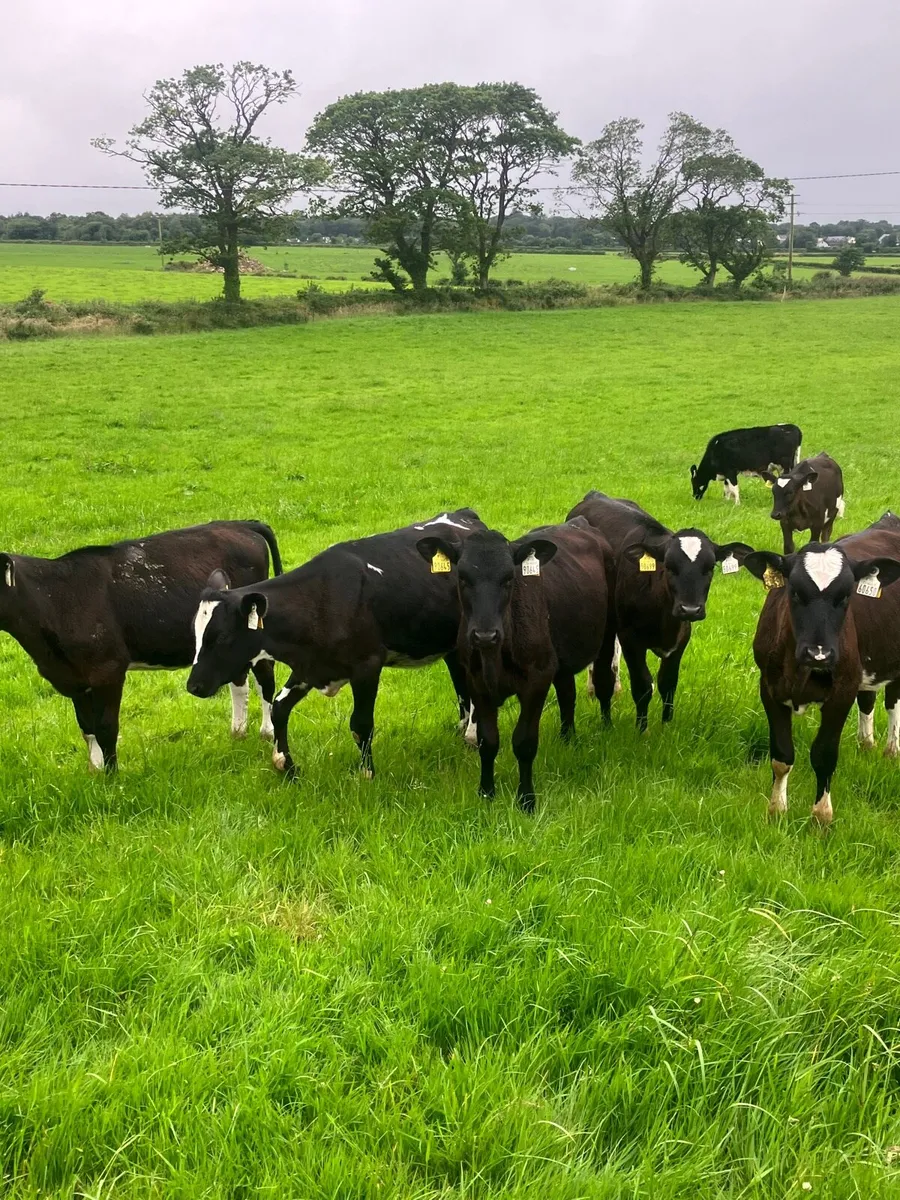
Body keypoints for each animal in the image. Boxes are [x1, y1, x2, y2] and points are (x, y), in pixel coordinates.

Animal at [0, 521, 283, 770]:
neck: (55, 598)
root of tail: (241, 524)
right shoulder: (73, 679)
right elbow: (87, 728)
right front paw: (95, 772)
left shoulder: (108, 671)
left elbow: (105, 727)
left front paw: (112, 779)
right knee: (239, 679)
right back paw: (237, 732)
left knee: (265, 679)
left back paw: (267, 733)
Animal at [186, 510, 486, 782]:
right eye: (196, 635)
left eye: (221, 637)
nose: (193, 685)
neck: (321, 598)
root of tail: (464, 515)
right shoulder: (309, 666)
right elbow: (279, 707)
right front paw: (286, 766)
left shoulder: (367, 665)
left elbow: (360, 724)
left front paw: (367, 775)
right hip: (451, 647)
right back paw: (463, 730)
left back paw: (472, 734)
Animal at [416, 518, 617, 811]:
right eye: (462, 577)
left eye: (509, 578)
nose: (484, 635)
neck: (495, 655)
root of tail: (579, 523)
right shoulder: (476, 682)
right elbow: (488, 740)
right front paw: (486, 793)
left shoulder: (537, 680)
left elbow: (524, 742)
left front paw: (526, 799)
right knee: (567, 694)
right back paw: (567, 738)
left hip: (609, 630)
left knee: (603, 681)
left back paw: (607, 727)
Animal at [567, 492, 754, 730]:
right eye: (669, 566)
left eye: (710, 567)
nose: (690, 609)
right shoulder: (630, 638)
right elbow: (643, 686)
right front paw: (641, 729)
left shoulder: (682, 638)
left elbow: (668, 683)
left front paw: (666, 726)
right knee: (603, 674)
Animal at [745, 527, 900, 824]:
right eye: (794, 592)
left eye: (847, 595)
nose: (819, 654)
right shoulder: (768, 688)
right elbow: (781, 756)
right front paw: (777, 810)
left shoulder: (842, 692)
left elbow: (824, 756)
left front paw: (821, 816)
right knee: (868, 699)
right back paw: (867, 744)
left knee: (893, 701)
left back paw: (891, 750)